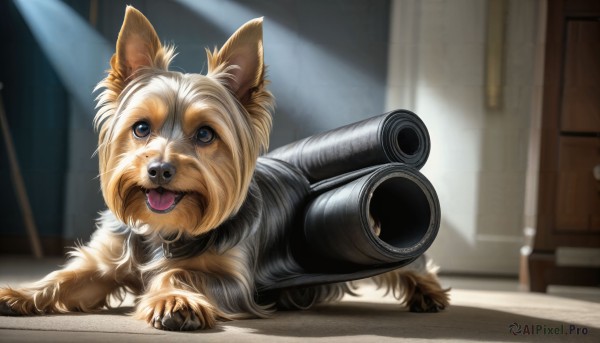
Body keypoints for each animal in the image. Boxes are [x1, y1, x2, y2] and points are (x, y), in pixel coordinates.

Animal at [0, 6, 450, 332]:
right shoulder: (105, 260)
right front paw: (17, 293)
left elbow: (181, 273)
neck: (167, 230)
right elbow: (66, 278)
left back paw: (428, 294)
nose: (160, 170)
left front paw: (174, 300)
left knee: (410, 262)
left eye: (205, 134)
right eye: (141, 128)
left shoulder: (235, 279)